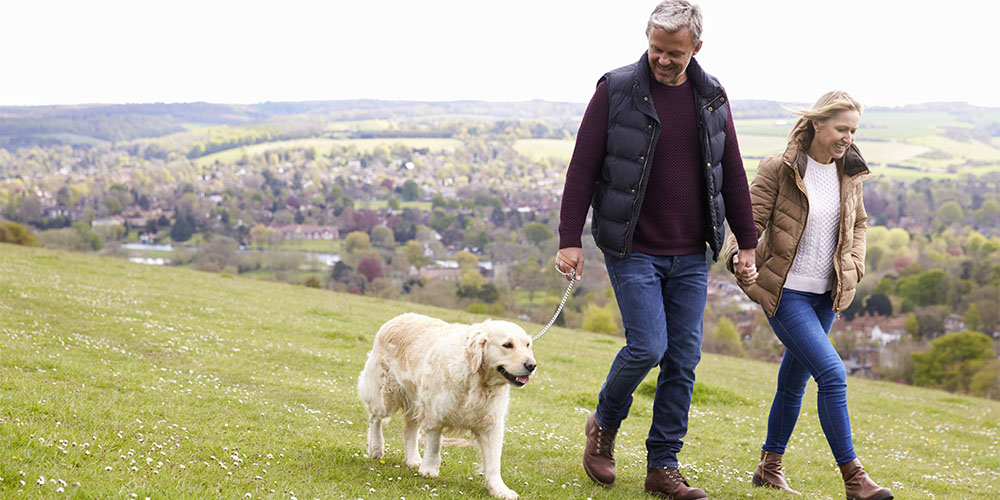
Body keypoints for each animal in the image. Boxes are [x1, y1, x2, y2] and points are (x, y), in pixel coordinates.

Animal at [356, 314, 536, 498]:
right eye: (508, 345)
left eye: (527, 345)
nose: (531, 365)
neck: (477, 381)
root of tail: (398, 318)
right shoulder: (435, 414)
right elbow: (435, 445)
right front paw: (429, 469)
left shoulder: (491, 425)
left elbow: (493, 462)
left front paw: (500, 489)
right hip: (385, 394)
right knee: (375, 419)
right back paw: (376, 448)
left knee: (409, 430)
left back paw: (413, 459)